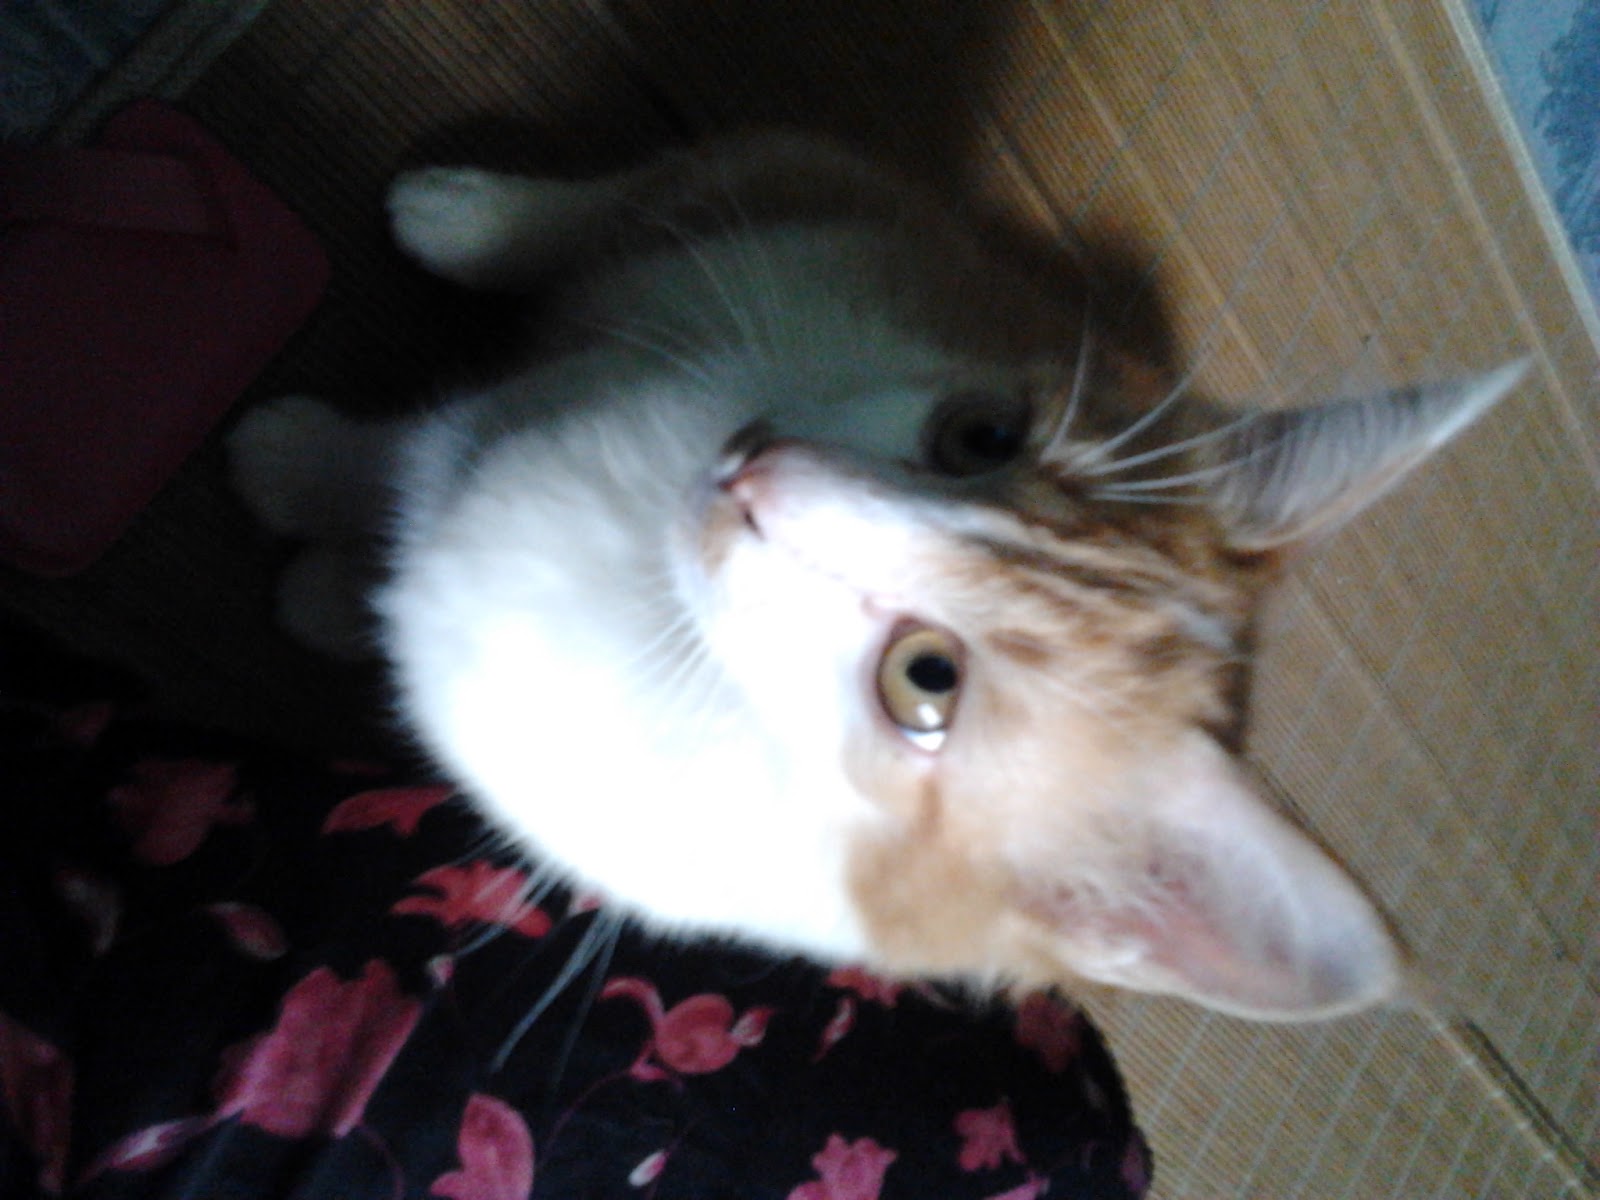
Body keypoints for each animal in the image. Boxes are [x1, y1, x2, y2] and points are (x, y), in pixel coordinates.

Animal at [228, 132, 1524, 1022]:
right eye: (978, 438)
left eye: (925, 681)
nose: (755, 471)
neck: (653, 599)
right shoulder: (577, 382)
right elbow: (412, 451)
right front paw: (305, 470)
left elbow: (412, 496)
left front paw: (324, 575)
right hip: (804, 211)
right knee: (669, 187)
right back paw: (462, 213)